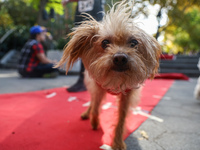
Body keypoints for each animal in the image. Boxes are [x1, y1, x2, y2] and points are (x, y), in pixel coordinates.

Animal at [55, 0, 161, 149]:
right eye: (105, 42)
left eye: (134, 43)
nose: (120, 58)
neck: (116, 81)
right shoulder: (98, 87)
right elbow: (95, 107)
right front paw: (94, 121)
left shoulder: (127, 96)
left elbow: (121, 119)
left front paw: (117, 141)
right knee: (92, 101)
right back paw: (87, 113)